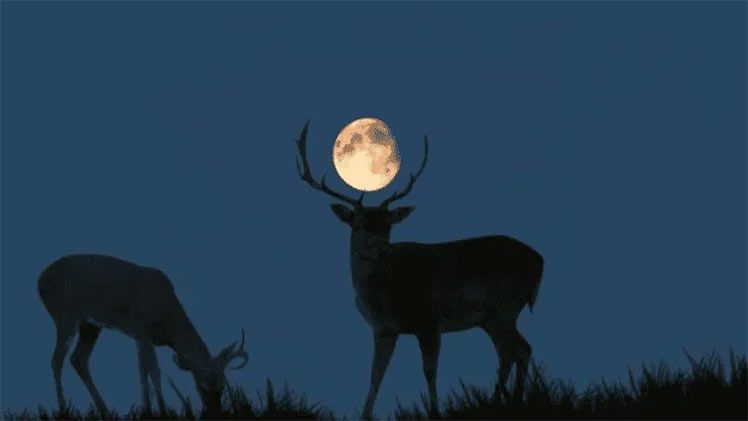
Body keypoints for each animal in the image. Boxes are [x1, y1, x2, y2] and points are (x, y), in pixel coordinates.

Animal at [38, 253, 248, 414]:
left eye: (223, 386)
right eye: (201, 387)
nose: (215, 412)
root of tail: (40, 280)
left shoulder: (140, 337)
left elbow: (142, 369)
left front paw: (147, 407)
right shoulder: (142, 329)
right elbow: (153, 370)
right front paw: (160, 409)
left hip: (90, 325)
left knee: (78, 359)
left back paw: (104, 409)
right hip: (65, 315)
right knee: (57, 359)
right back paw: (63, 408)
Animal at [296, 121, 548, 416]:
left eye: (388, 226)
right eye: (357, 224)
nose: (380, 248)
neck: (382, 296)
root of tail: (540, 260)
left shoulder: (428, 320)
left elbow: (429, 371)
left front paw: (434, 411)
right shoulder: (383, 329)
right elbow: (375, 375)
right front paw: (365, 414)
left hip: (505, 306)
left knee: (518, 350)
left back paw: (509, 400)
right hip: (491, 317)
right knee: (512, 351)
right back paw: (506, 400)